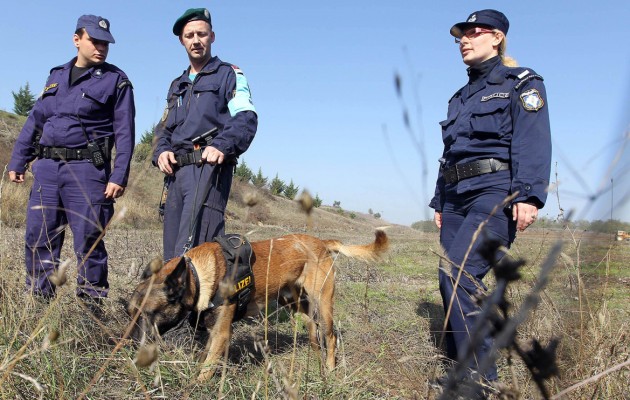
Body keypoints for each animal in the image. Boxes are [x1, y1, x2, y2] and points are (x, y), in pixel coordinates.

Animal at [126, 230, 388, 380]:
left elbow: (206, 369)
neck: (197, 274)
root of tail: (322, 242)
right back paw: (317, 362)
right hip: (294, 304)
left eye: (149, 314)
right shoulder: (213, 331)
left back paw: (331, 369)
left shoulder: (222, 333)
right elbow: (204, 358)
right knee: (313, 332)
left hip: (323, 302)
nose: (129, 346)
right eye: (130, 313)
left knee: (330, 336)